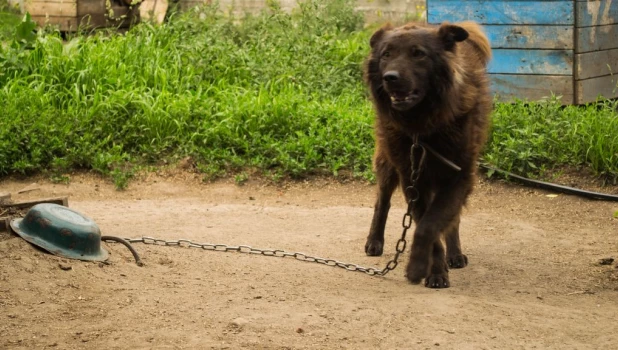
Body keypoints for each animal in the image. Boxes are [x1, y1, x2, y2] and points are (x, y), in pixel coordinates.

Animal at [360, 21, 490, 288]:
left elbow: (430, 226)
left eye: (418, 54)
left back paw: (455, 254)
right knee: (382, 201)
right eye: (386, 54)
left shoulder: (459, 175)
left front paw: (418, 267)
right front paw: (433, 271)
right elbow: (427, 227)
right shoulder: (413, 179)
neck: (423, 125)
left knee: (453, 219)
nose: (390, 78)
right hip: (388, 163)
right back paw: (374, 241)